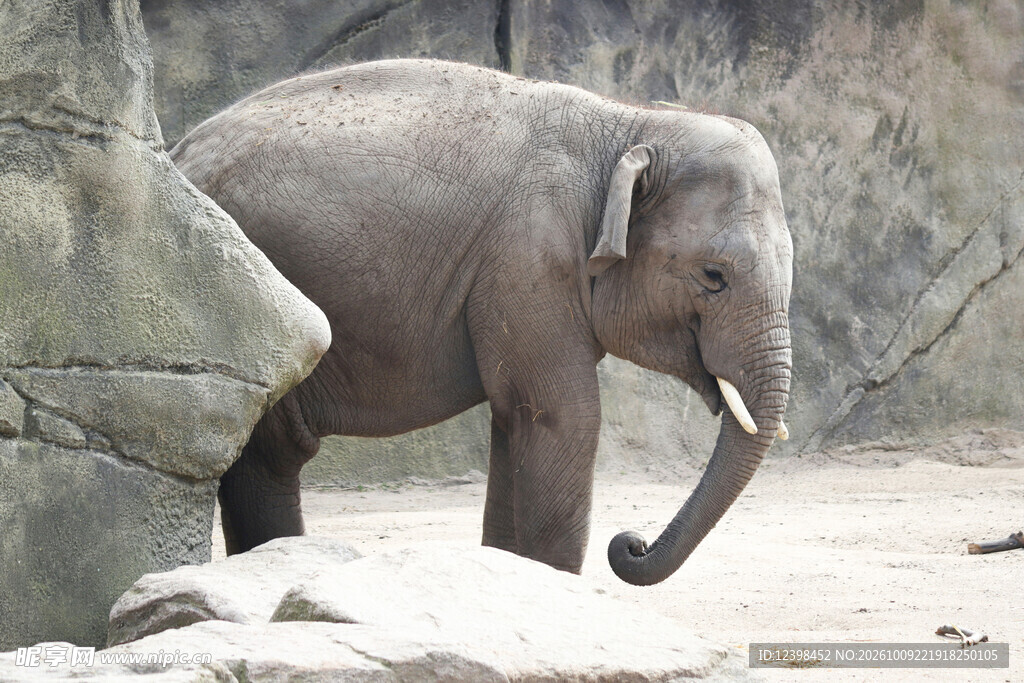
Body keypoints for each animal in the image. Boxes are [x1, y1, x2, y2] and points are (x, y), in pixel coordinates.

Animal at [170, 59, 792, 586]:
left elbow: (515, 417)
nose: (630, 543)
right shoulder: (529, 259)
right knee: (269, 452)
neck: (628, 123)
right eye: (714, 276)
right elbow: (564, 415)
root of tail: (175, 153)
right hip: (244, 302)